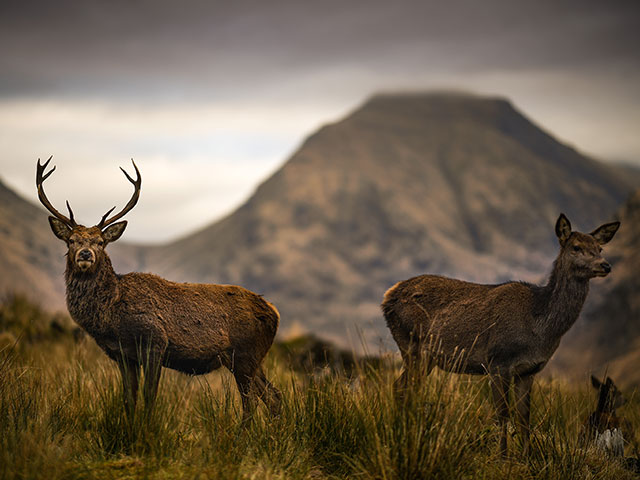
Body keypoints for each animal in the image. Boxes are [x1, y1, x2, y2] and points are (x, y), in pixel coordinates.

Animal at [36, 157, 282, 420]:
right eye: (71, 240)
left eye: (100, 242)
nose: (85, 254)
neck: (112, 314)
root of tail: (274, 313)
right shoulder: (123, 355)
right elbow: (128, 397)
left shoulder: (155, 343)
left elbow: (149, 396)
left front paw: (147, 426)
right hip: (253, 359)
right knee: (274, 395)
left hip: (244, 354)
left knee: (251, 401)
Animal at [382, 214, 616, 454]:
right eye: (576, 247)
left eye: (599, 248)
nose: (605, 265)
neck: (538, 326)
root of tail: (388, 296)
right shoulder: (497, 362)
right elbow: (502, 414)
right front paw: (503, 456)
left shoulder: (529, 371)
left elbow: (524, 417)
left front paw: (526, 456)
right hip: (412, 345)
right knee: (402, 387)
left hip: (425, 357)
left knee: (404, 388)